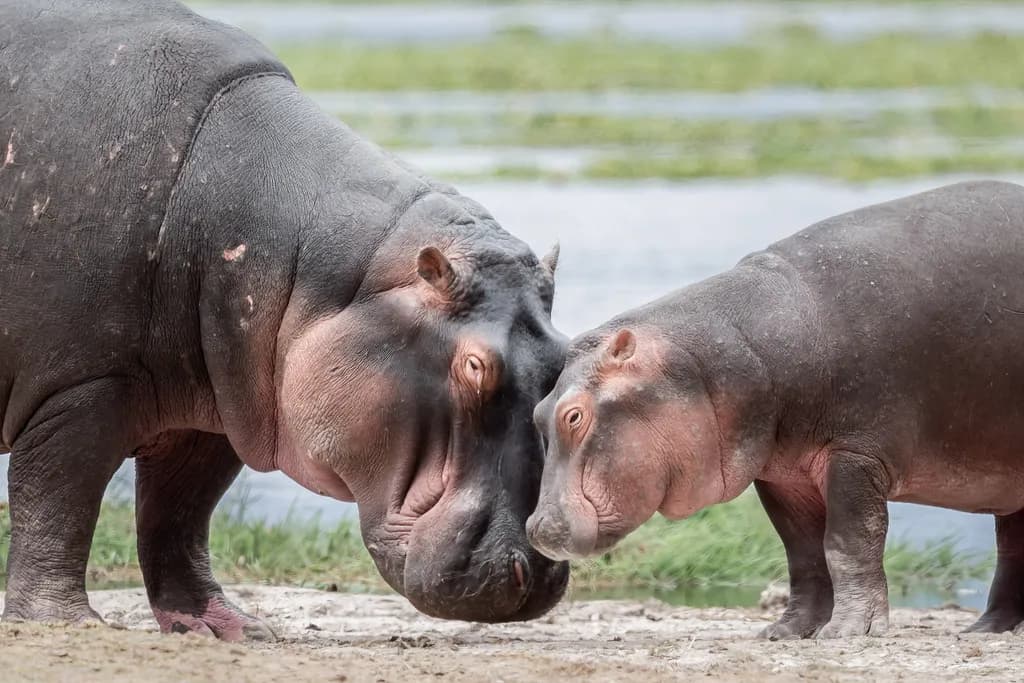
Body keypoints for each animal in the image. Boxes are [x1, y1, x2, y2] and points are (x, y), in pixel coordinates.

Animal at [0, 0, 568, 639]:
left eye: (565, 356)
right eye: (474, 366)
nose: (536, 570)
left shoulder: (213, 409)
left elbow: (178, 516)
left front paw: (229, 629)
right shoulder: (81, 386)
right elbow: (58, 499)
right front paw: (65, 622)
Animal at [527, 180, 1024, 639]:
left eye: (575, 415)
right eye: (538, 410)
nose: (536, 527)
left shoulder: (856, 454)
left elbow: (848, 543)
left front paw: (847, 631)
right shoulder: (783, 474)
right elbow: (803, 553)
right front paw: (785, 631)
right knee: (1011, 549)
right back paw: (986, 629)